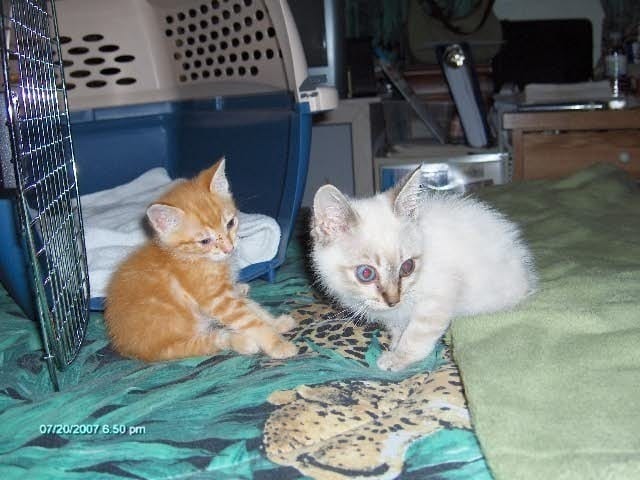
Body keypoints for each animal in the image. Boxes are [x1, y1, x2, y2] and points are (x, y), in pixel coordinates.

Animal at [104, 159, 298, 362]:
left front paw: (276, 323)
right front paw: (277, 344)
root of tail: (123, 344)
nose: (229, 248)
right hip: (173, 344)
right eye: (205, 241)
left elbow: (253, 309)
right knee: (211, 340)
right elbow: (250, 321)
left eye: (230, 223)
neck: (193, 257)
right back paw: (243, 341)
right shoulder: (218, 299)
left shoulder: (226, 294)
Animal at [310, 167, 536, 374]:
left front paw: (398, 357)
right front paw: (395, 344)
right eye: (366, 273)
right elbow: (398, 327)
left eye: (407, 267)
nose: (393, 300)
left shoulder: (440, 295)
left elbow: (417, 333)